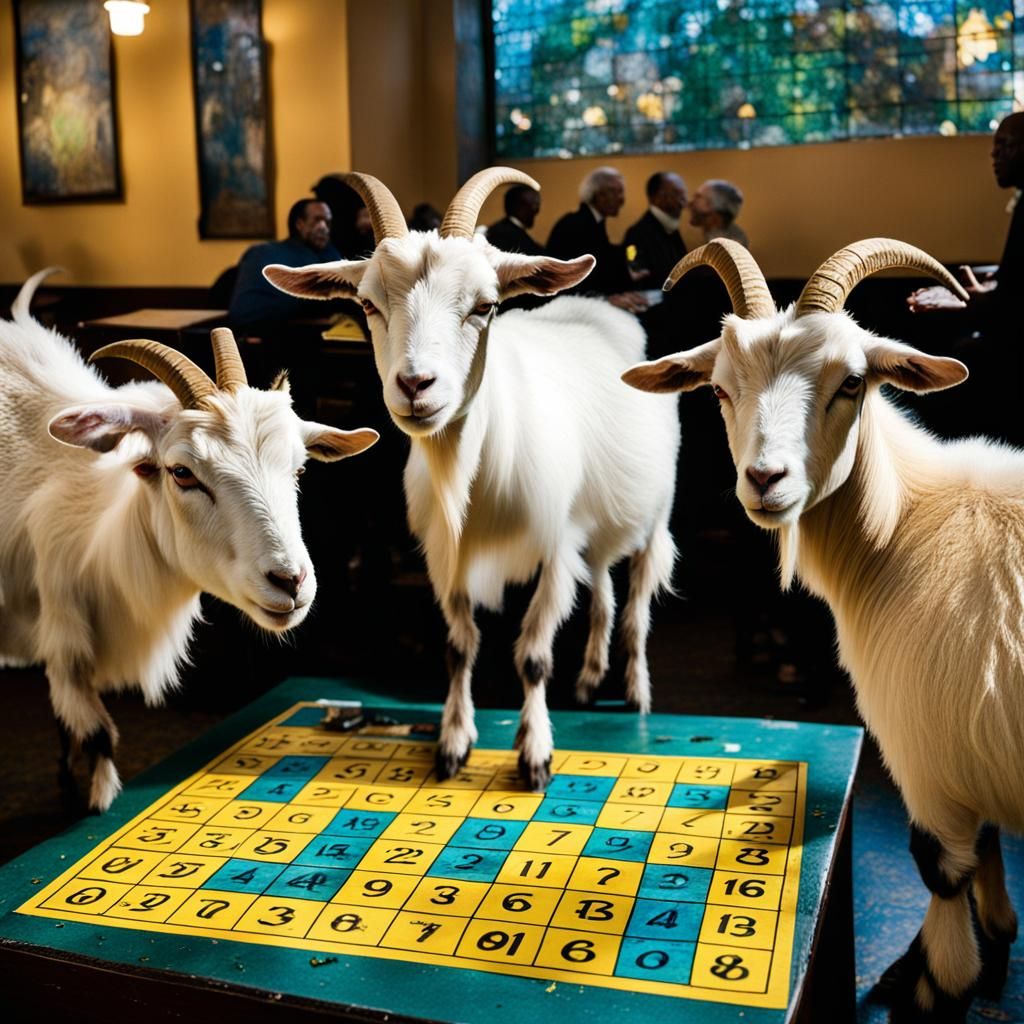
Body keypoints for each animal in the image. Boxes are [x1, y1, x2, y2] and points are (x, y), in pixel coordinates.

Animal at [0, 269, 379, 810]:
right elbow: (96, 733)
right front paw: (94, 799)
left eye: (300, 468)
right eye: (182, 473)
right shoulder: (64, 631)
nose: (290, 581)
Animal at [265, 168, 680, 789]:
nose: (416, 384)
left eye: (485, 306)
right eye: (367, 303)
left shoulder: (555, 550)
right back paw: (589, 677)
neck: (467, 475)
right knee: (605, 590)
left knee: (636, 604)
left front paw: (535, 754)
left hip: (654, 514)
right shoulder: (448, 557)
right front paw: (454, 742)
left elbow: (532, 658)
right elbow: (459, 648)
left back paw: (634, 689)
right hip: (598, 522)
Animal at [624, 237, 1020, 1023]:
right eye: (719, 389)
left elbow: (944, 892)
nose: (765, 479)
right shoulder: (968, 754)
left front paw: (931, 981)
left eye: (854, 382)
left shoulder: (928, 758)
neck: (903, 526)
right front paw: (994, 940)